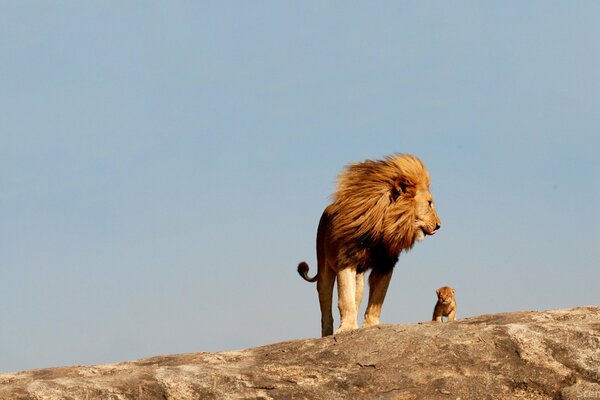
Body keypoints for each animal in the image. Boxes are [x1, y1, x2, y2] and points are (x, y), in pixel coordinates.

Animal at [296, 153, 440, 338]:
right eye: (429, 203)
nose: (439, 225)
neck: (383, 225)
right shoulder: (346, 259)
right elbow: (345, 299)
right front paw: (346, 328)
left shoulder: (385, 264)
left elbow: (377, 300)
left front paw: (371, 326)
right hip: (324, 268)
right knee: (325, 302)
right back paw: (327, 334)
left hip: (360, 279)